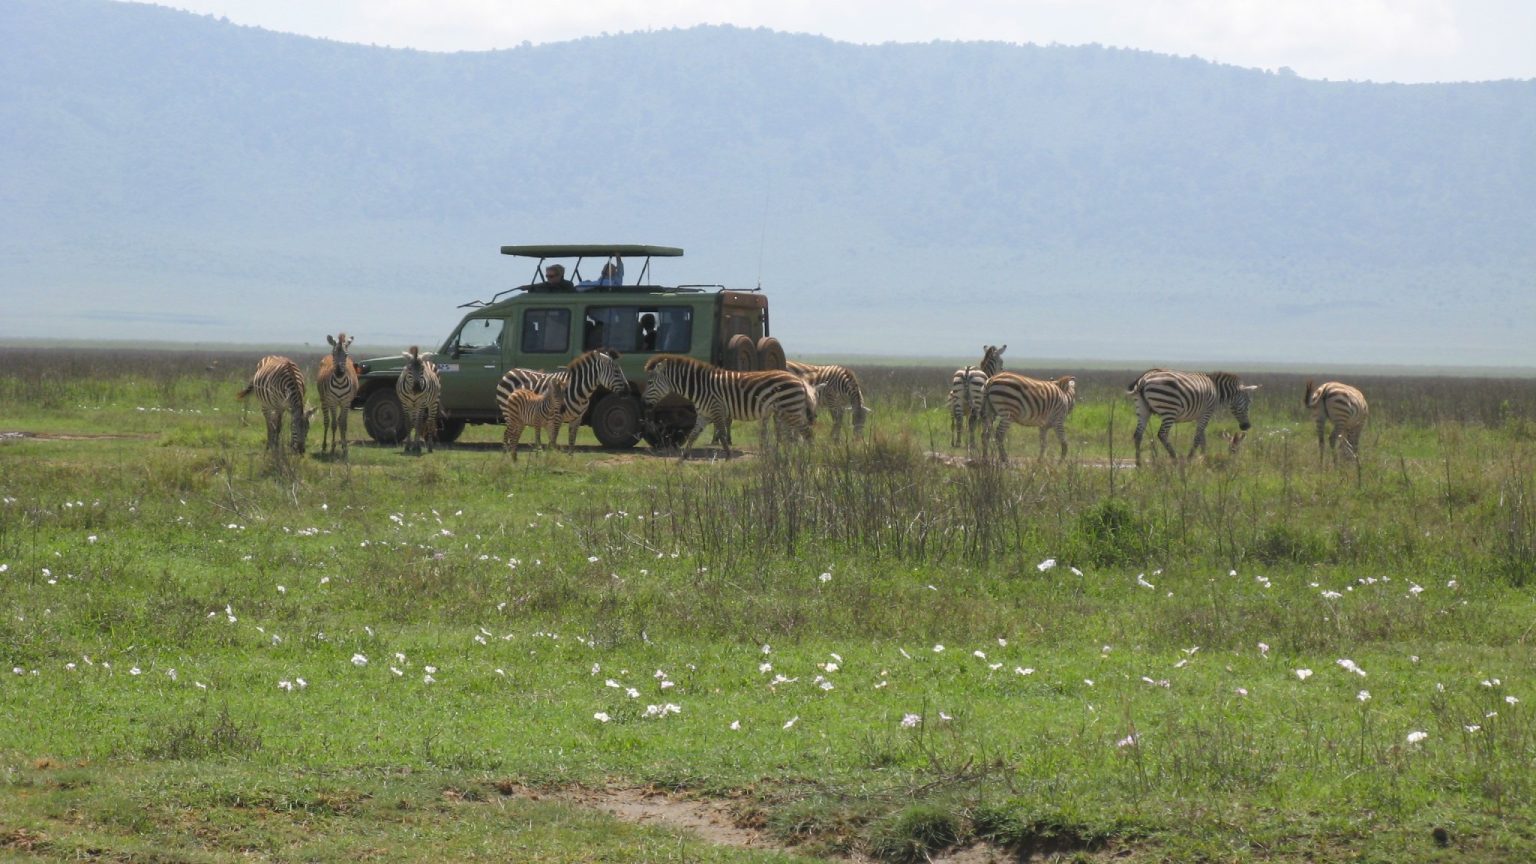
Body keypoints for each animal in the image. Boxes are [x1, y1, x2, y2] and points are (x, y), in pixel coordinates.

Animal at [495, 349, 630, 452]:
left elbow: (571, 443)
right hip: (509, 413)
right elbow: (553, 443)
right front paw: (549, 463)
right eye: (616, 372)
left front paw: (569, 462)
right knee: (508, 434)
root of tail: (510, 371)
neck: (578, 390)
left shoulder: (577, 418)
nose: (628, 391)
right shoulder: (557, 417)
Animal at [641, 354, 816, 461]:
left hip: (790, 409)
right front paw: (682, 459)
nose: (643, 402)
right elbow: (692, 436)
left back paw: (809, 458)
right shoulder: (704, 414)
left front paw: (728, 456)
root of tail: (798, 379)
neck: (700, 387)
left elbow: (722, 435)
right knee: (795, 435)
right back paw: (793, 457)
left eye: (649, 382)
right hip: (787, 410)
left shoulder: (716, 409)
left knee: (807, 433)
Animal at [1128, 369, 1258, 465]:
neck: (1217, 391)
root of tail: (1144, 379)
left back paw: (1138, 464)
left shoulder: (1200, 416)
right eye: (1249, 403)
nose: (1247, 426)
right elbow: (1198, 438)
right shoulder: (1207, 413)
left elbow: (1202, 438)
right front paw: (1190, 458)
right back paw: (1175, 458)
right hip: (1169, 409)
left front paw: (1204, 457)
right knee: (1162, 434)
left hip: (1142, 409)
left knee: (1138, 435)